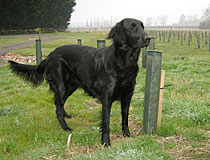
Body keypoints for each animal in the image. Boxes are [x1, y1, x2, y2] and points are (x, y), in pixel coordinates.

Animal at [8, 18, 149, 146]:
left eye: (143, 27)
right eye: (131, 27)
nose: (149, 38)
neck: (125, 62)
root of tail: (49, 56)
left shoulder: (127, 96)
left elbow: (125, 118)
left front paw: (127, 135)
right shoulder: (107, 98)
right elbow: (106, 123)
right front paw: (105, 143)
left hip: (71, 86)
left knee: (59, 104)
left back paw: (66, 116)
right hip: (60, 86)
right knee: (58, 108)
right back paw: (66, 128)